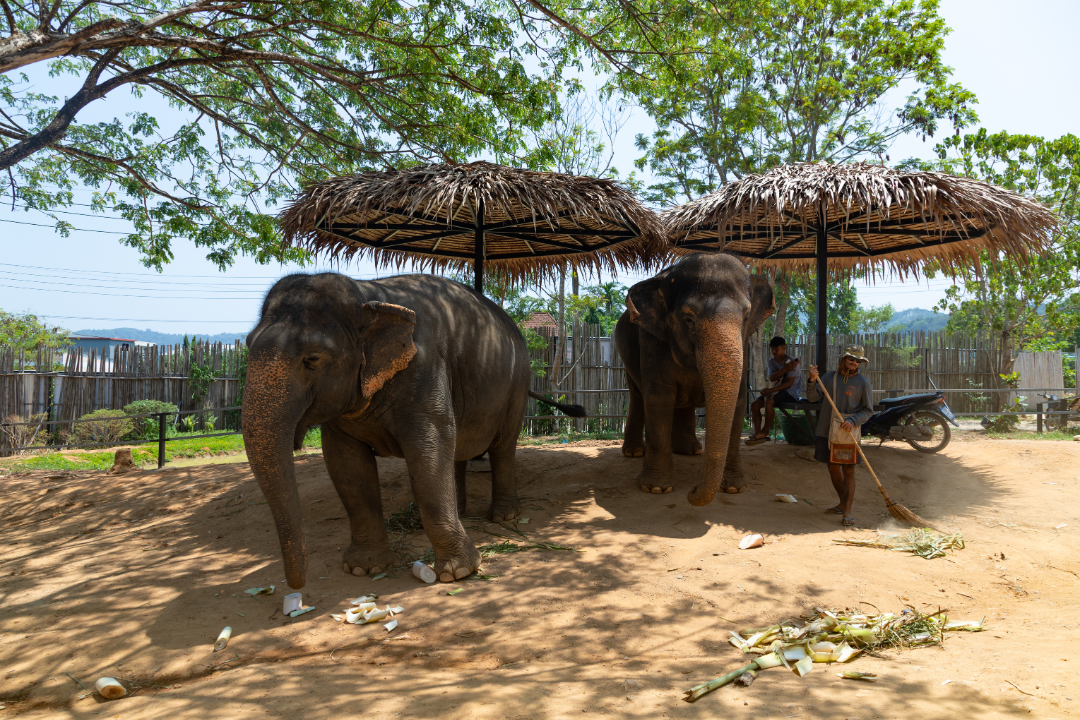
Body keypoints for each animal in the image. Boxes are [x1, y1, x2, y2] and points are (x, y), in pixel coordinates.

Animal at [242, 272, 584, 588]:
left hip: (517, 382)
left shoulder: (424, 366)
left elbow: (428, 451)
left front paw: (458, 572)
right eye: (246, 345)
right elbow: (347, 467)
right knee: (458, 447)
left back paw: (504, 517)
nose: (297, 584)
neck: (368, 296)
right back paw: (459, 510)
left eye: (312, 358)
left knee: (503, 446)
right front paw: (363, 568)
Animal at [613, 254, 774, 505]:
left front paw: (733, 488)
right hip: (625, 356)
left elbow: (738, 403)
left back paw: (690, 450)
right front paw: (656, 488)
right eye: (688, 320)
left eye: (746, 317)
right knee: (638, 396)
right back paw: (635, 453)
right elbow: (659, 398)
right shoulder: (652, 340)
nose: (692, 490)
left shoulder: (745, 345)